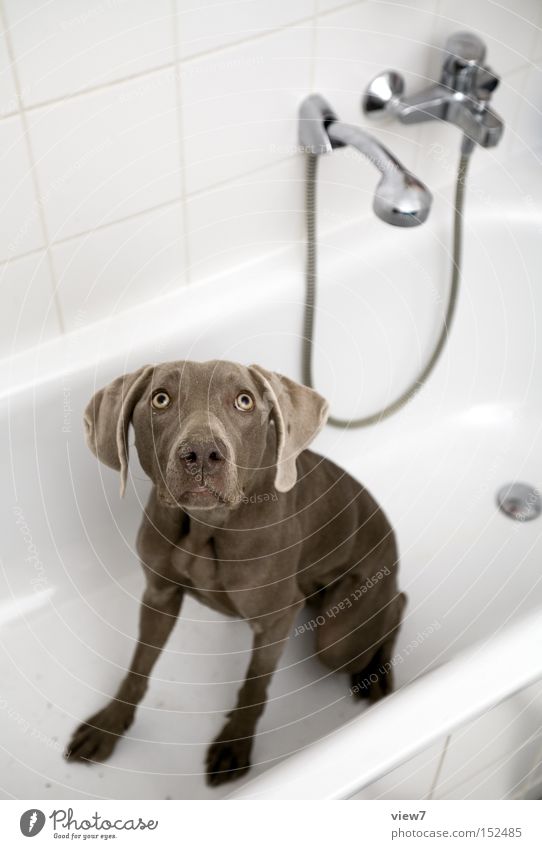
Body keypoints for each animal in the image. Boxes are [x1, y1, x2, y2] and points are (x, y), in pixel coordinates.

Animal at [65, 360, 408, 788]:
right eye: (160, 399)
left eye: (244, 401)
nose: (201, 453)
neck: (205, 526)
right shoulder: (159, 594)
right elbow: (138, 667)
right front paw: (109, 725)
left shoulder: (277, 617)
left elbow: (254, 686)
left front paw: (235, 744)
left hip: (341, 637)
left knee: (393, 607)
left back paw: (377, 671)